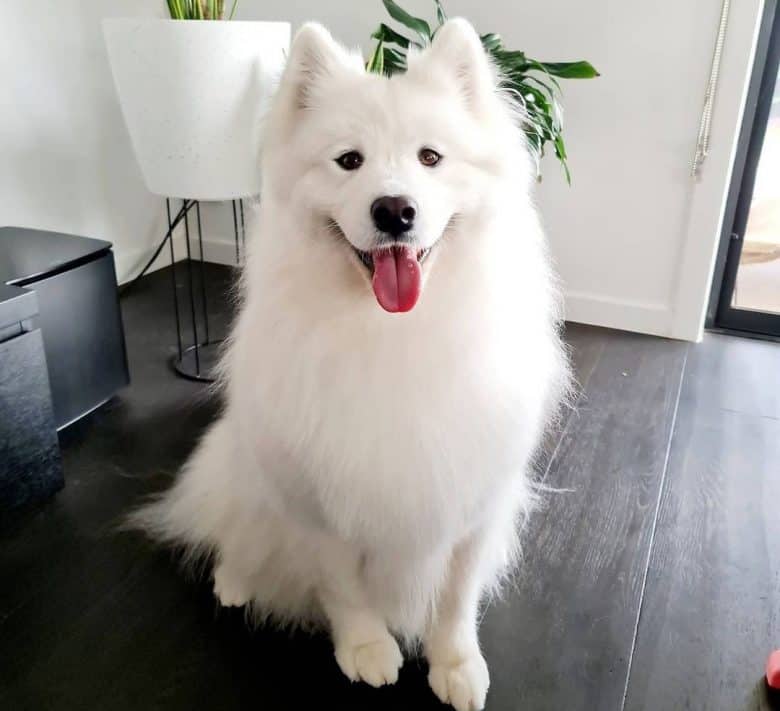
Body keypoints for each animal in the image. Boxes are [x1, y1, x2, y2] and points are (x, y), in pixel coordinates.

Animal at [133, 18, 569, 711]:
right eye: (349, 161)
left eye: (430, 158)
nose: (394, 210)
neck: (393, 333)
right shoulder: (319, 494)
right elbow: (343, 585)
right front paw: (365, 649)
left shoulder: (473, 494)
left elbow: (456, 593)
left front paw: (455, 662)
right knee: (233, 525)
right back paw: (234, 581)